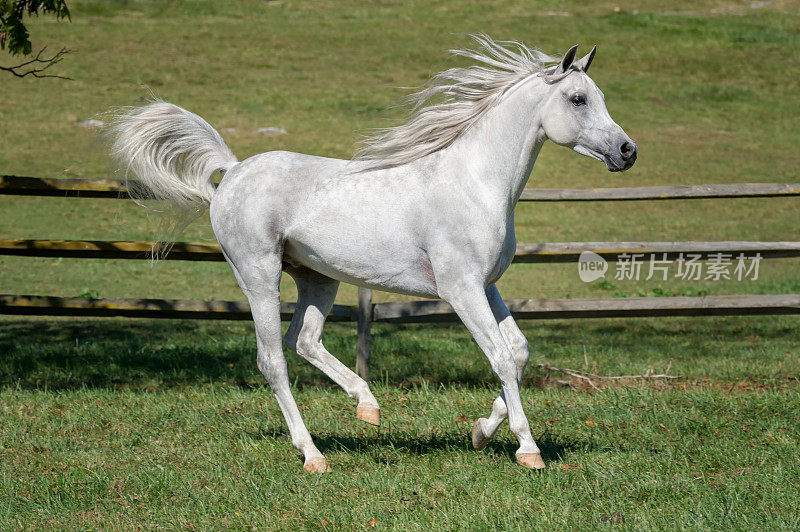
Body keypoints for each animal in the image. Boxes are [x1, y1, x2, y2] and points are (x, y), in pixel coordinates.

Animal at [108, 35, 636, 472]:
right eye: (578, 99)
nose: (627, 151)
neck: (475, 184)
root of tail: (233, 171)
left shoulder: (487, 286)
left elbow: (520, 352)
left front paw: (481, 433)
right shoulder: (461, 290)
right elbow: (502, 358)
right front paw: (527, 449)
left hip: (318, 278)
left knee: (304, 339)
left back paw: (369, 407)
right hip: (258, 275)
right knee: (272, 359)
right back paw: (313, 455)